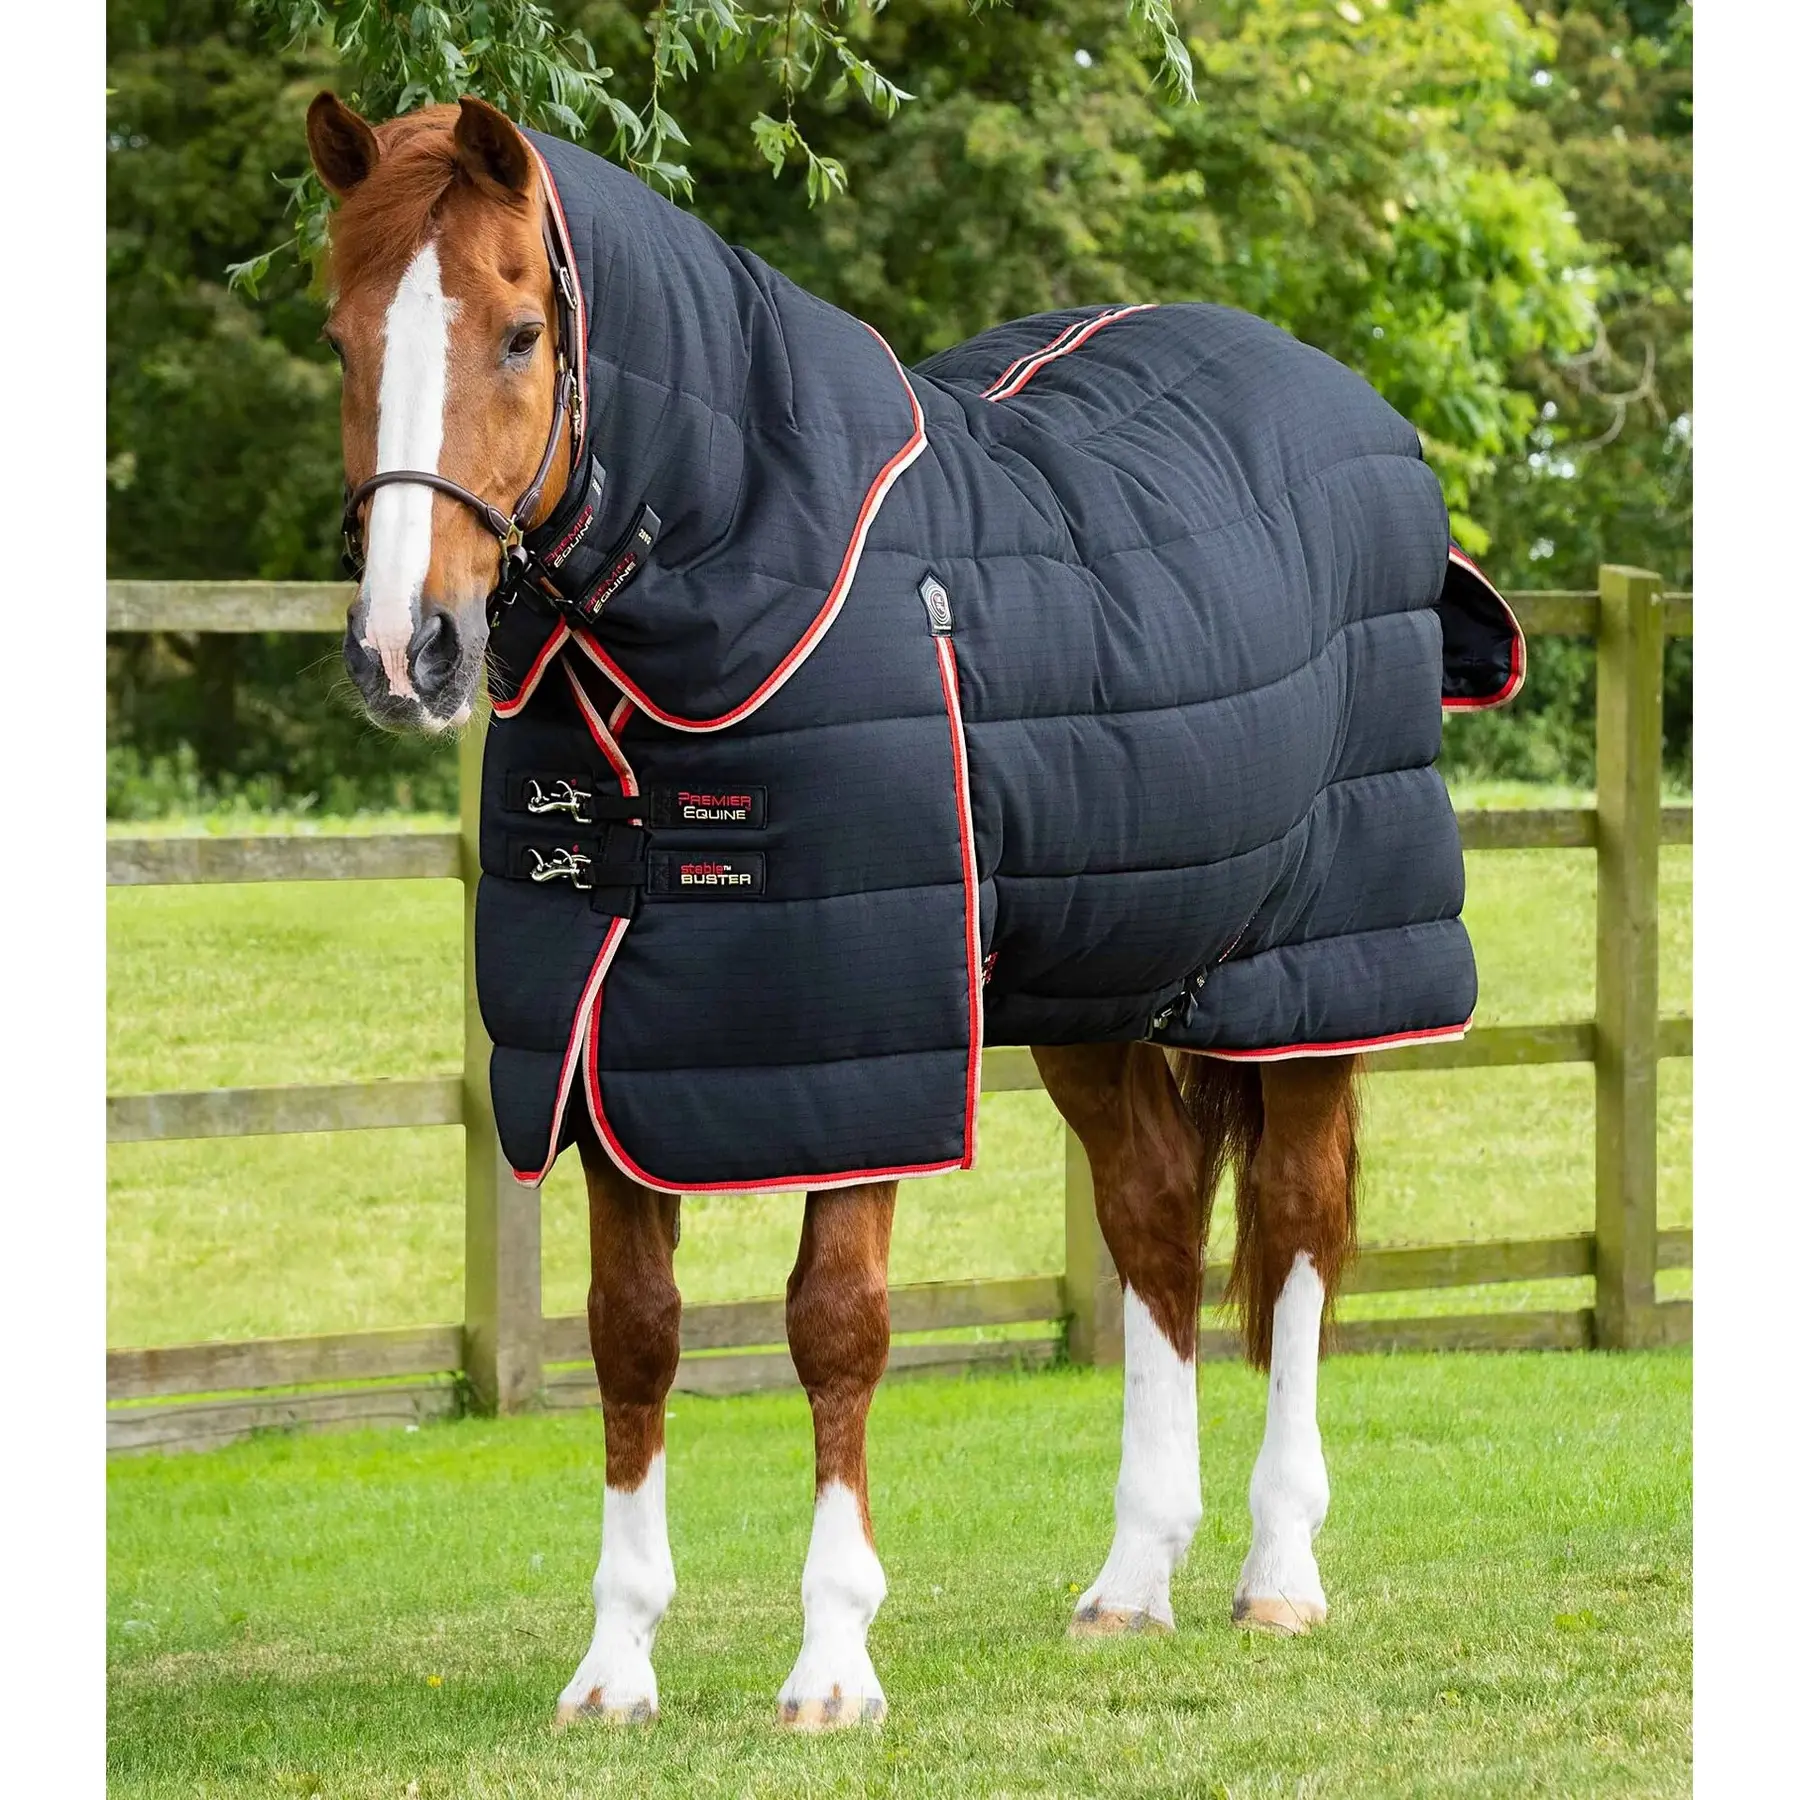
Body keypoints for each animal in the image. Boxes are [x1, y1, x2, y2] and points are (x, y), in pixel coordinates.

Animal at [306, 90, 1508, 1729]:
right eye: (343, 333)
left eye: (518, 333)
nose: (404, 650)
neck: (749, 580)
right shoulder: (612, 1058)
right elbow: (632, 1337)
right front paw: (615, 1669)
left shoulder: (862, 1059)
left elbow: (837, 1326)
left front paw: (832, 1665)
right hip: (1099, 989)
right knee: (1152, 1218)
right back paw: (1133, 1582)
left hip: (1317, 983)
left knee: (1303, 1232)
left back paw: (1279, 1575)